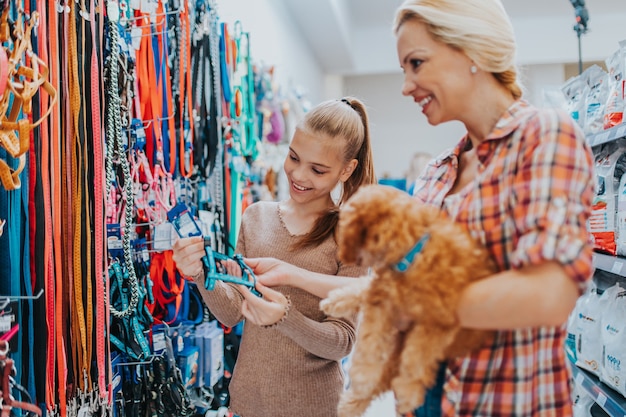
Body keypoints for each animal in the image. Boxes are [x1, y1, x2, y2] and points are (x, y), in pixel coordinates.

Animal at [320, 184, 494, 414]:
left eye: (347, 230)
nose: (344, 256)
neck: (416, 251)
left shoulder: (436, 321)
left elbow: (415, 357)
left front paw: (403, 388)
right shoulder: (384, 297)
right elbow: (368, 337)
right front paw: (334, 301)